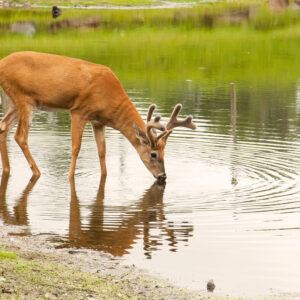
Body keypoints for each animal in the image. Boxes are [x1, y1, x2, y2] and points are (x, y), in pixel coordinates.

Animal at [0, 51, 197, 182]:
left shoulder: (98, 121)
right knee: (20, 136)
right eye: (154, 154)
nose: (163, 176)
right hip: (24, 98)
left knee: (3, 126)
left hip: (14, 101)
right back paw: (36, 172)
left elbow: (102, 151)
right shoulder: (79, 111)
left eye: (165, 152)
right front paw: (70, 176)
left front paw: (104, 175)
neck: (110, 97)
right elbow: (76, 147)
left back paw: (7, 169)